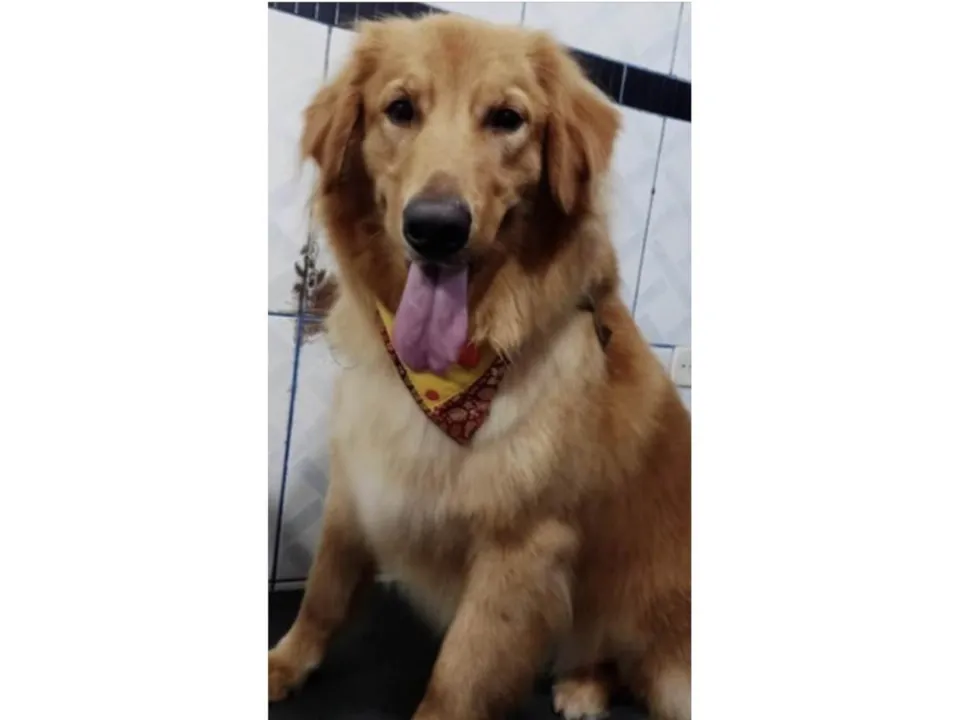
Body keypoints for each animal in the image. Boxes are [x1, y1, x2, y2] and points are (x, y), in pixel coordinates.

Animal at [269, 13, 691, 720]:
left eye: (506, 118)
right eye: (400, 109)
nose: (435, 227)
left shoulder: (523, 548)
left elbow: (459, 674)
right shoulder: (360, 480)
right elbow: (323, 593)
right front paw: (283, 666)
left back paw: (584, 685)